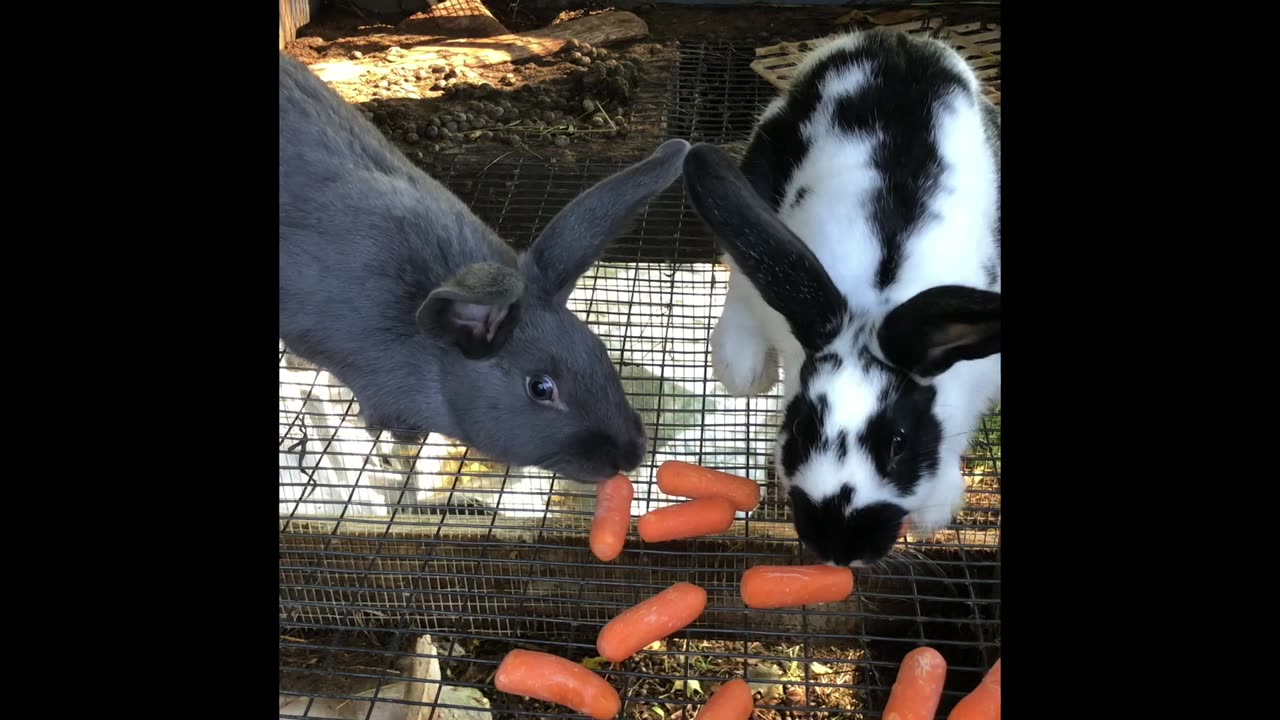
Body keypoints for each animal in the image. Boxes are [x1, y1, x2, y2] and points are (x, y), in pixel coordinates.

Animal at [686, 28, 1003, 563]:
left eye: (898, 443)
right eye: (802, 429)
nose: (836, 548)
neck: (876, 303)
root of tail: (890, 40)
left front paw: (935, 512)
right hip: (761, 168)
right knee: (743, 264)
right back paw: (742, 365)